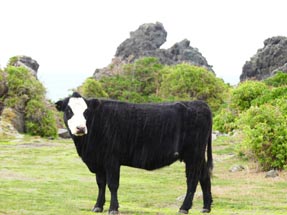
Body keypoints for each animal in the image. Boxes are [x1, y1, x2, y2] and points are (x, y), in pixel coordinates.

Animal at [55, 92, 214, 213]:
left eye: (86, 111)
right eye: (68, 111)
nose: (80, 128)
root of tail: (201, 104)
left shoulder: (112, 159)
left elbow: (113, 184)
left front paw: (113, 208)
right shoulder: (98, 161)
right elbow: (100, 184)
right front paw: (98, 206)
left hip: (193, 155)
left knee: (192, 180)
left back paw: (184, 208)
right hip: (198, 156)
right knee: (204, 176)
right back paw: (206, 207)